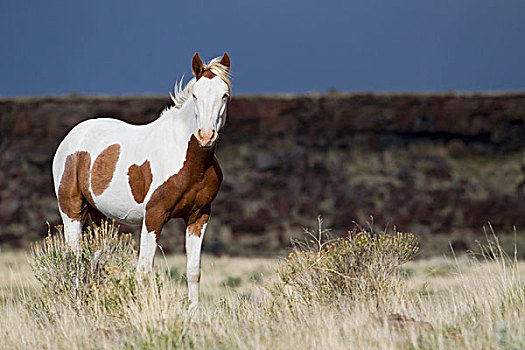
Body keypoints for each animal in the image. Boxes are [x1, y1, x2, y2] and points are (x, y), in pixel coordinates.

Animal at [52, 52, 230, 308]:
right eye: (196, 95)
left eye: (224, 95)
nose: (206, 136)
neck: (190, 162)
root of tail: (71, 138)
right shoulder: (154, 216)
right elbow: (143, 271)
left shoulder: (199, 216)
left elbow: (193, 270)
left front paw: (194, 312)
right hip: (72, 211)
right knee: (74, 261)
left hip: (99, 217)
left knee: (94, 261)